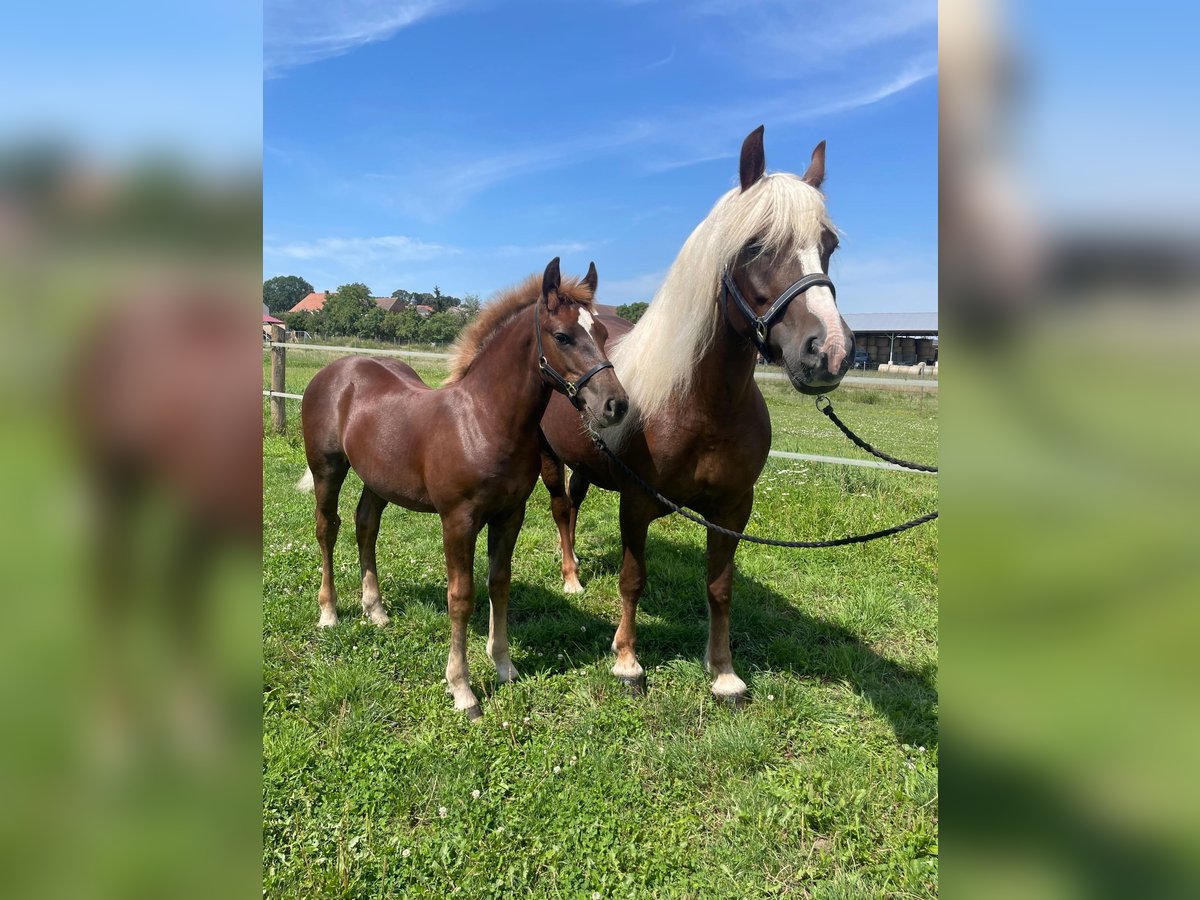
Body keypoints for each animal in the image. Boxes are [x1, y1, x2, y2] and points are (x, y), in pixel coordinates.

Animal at [300, 259, 628, 720]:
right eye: (563, 336)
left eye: (600, 333)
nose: (616, 405)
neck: (484, 420)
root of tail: (335, 372)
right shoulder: (458, 521)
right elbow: (461, 596)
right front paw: (463, 690)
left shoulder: (510, 515)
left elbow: (499, 583)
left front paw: (504, 665)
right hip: (328, 470)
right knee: (327, 528)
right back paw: (329, 612)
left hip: (377, 479)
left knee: (366, 526)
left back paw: (375, 609)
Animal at [540, 127, 859, 705]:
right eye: (755, 245)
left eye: (828, 246)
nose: (830, 352)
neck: (704, 407)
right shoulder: (636, 504)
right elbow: (632, 579)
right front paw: (626, 661)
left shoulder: (732, 510)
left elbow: (719, 587)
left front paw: (724, 672)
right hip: (548, 459)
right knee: (559, 509)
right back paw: (571, 577)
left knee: (572, 505)